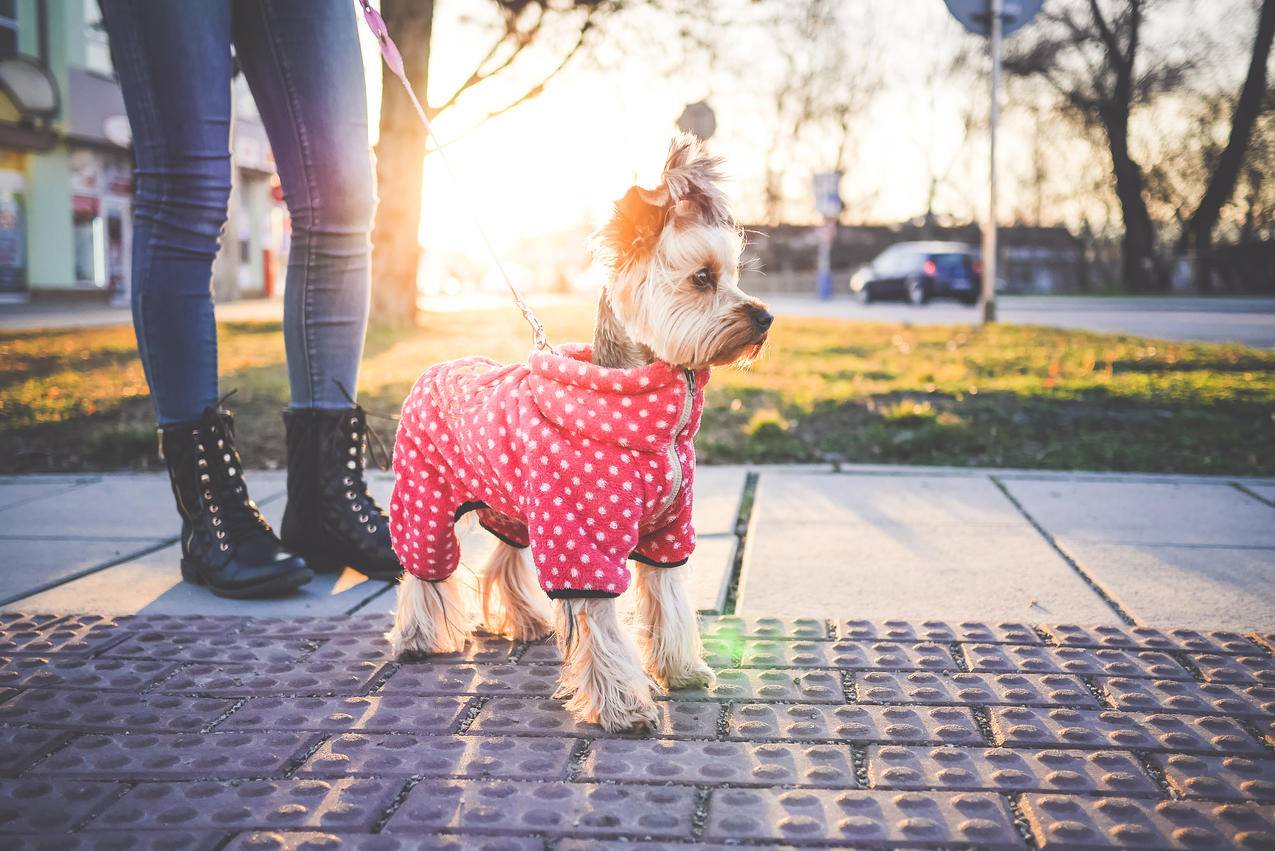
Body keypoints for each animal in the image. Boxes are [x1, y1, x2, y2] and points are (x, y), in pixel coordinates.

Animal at [382, 134, 770, 734]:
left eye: (733, 276)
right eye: (703, 278)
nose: (765, 318)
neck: (659, 419)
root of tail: (434, 366)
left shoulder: (664, 531)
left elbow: (667, 597)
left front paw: (680, 670)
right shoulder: (583, 537)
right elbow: (601, 621)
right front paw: (625, 705)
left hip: (512, 505)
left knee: (503, 558)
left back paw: (522, 620)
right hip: (425, 495)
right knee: (424, 569)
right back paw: (418, 638)